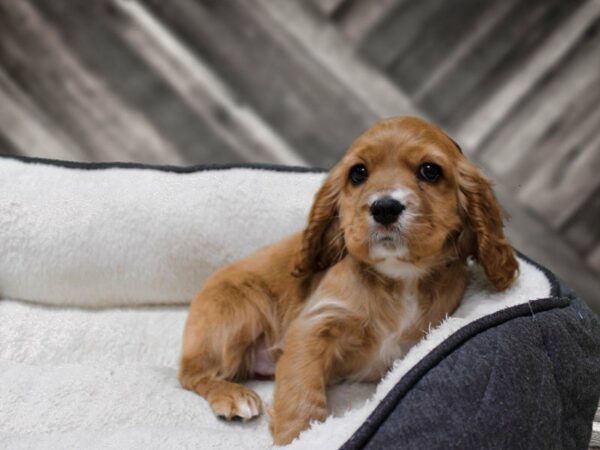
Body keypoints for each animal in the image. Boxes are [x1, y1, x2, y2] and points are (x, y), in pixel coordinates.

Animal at [177, 117, 516, 446]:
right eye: (358, 173)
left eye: (430, 171)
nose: (385, 207)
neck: (400, 277)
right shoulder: (314, 325)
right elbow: (300, 390)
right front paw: (300, 437)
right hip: (238, 312)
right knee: (191, 374)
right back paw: (233, 395)